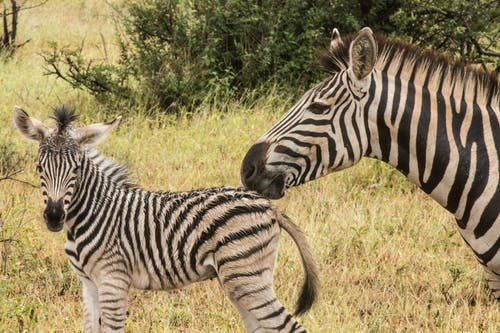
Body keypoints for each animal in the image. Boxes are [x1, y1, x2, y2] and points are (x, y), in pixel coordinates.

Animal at [13, 106, 318, 332]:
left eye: (76, 169)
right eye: (39, 167)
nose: (54, 217)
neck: (92, 212)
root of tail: (267, 205)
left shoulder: (113, 279)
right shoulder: (88, 284)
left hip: (247, 276)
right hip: (241, 279)